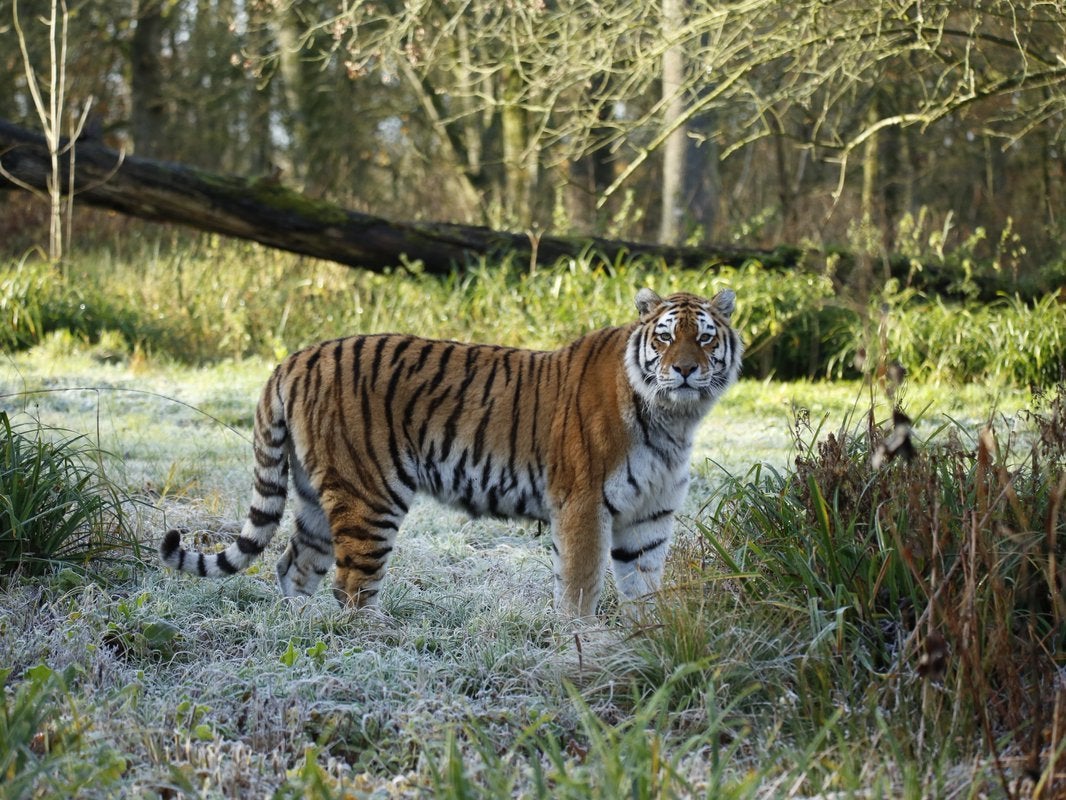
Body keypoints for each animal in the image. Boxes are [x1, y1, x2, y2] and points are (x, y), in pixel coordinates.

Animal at [159, 290, 741, 618]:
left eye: (705, 339)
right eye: (664, 338)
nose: (684, 369)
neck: (673, 419)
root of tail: (297, 357)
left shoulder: (649, 517)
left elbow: (644, 590)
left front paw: (648, 645)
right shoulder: (583, 505)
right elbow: (580, 587)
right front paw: (582, 648)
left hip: (314, 497)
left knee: (294, 568)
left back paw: (301, 634)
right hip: (370, 495)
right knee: (352, 586)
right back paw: (377, 646)